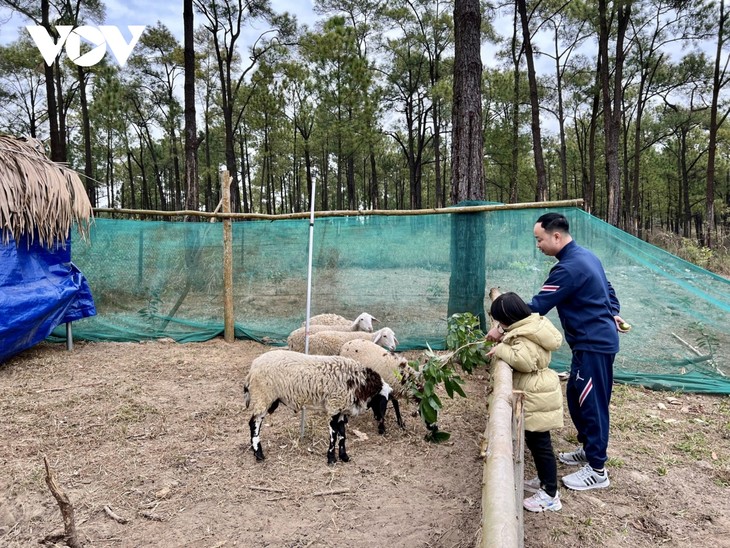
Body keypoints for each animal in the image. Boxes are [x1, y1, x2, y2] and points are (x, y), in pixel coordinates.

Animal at [243, 352, 392, 462]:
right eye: (382, 402)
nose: (381, 426)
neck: (360, 384)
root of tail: (251, 370)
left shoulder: (342, 409)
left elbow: (342, 435)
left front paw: (344, 456)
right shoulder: (334, 406)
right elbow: (334, 435)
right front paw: (331, 459)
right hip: (263, 396)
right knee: (254, 423)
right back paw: (258, 454)